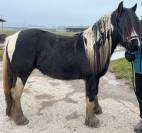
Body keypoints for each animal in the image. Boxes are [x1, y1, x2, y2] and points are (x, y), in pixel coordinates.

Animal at [0, 1, 141, 127]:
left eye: (137, 23)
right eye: (124, 23)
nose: (135, 45)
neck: (94, 47)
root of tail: (12, 38)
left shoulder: (95, 79)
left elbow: (95, 93)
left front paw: (97, 111)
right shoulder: (91, 78)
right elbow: (90, 96)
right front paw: (92, 121)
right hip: (21, 74)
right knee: (16, 93)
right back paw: (21, 119)